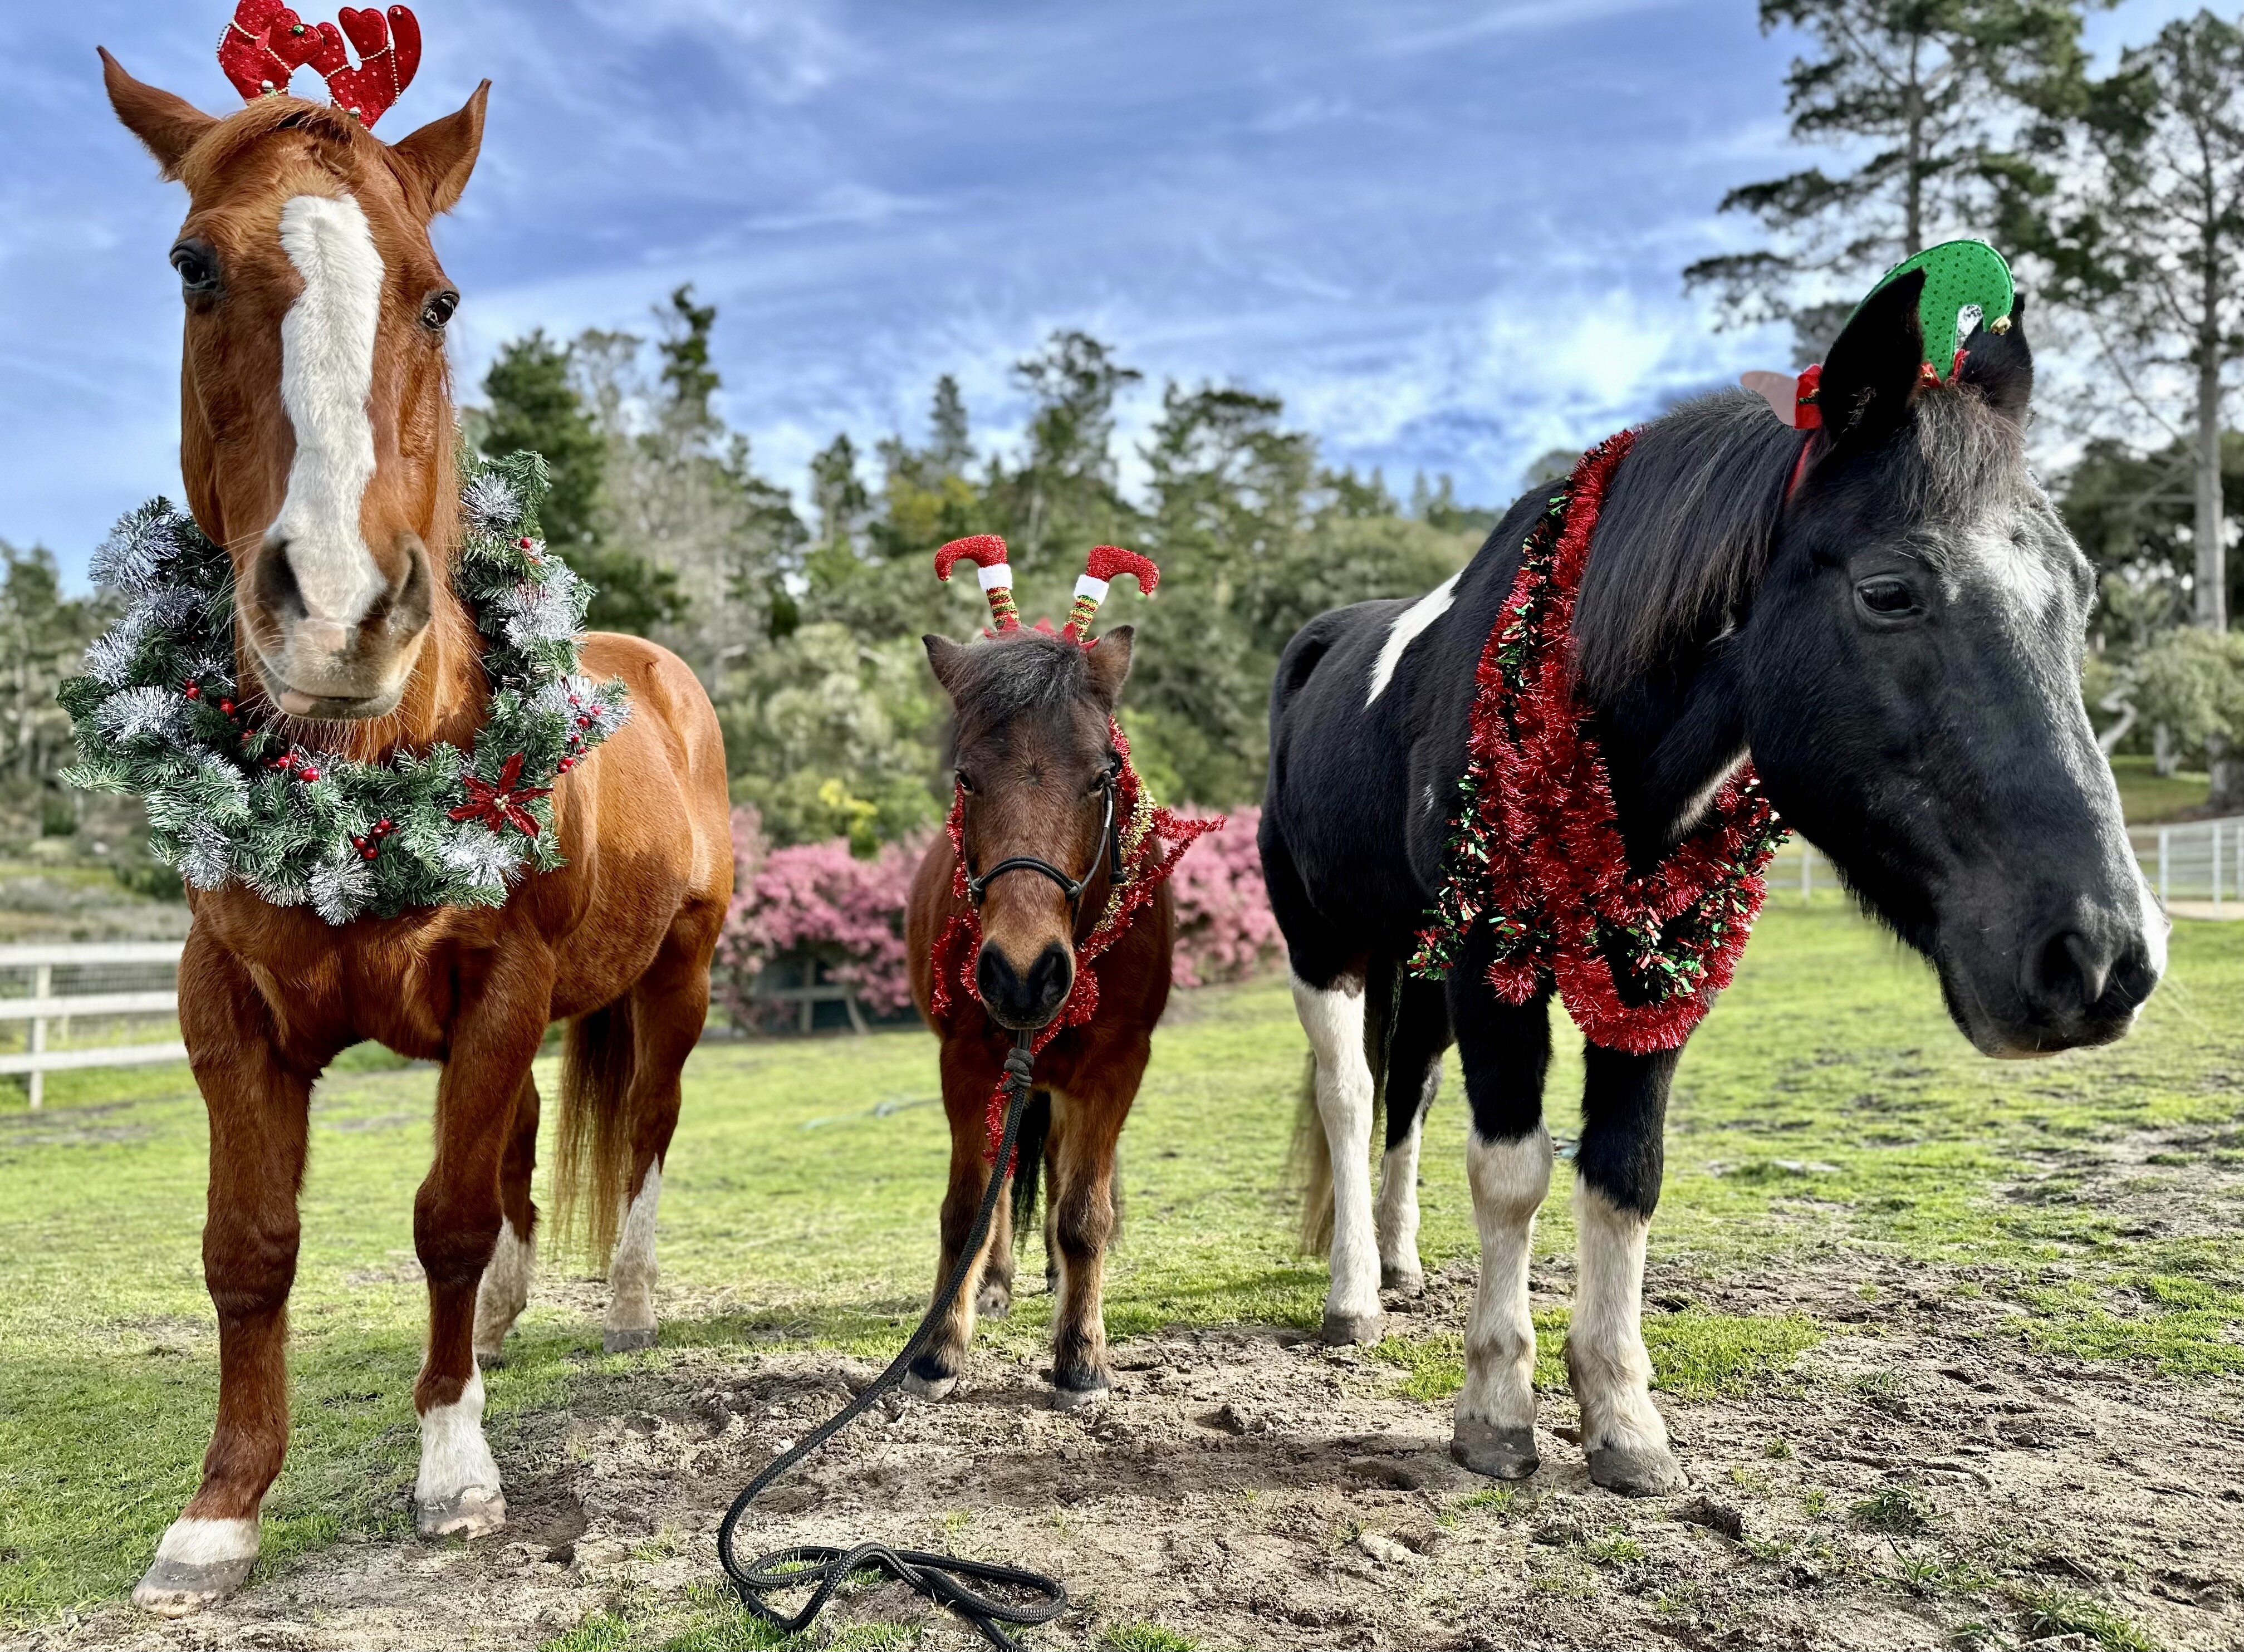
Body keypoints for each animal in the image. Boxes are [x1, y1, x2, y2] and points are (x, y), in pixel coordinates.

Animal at [98, 53, 732, 1613]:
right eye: (195, 266)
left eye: (437, 297)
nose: (335, 612)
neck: (359, 781)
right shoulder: (226, 1005)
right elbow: (251, 1243)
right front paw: (219, 1512)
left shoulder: (501, 987)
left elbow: (443, 1215)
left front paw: (453, 1467)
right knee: (518, 1157)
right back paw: (500, 1322)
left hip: (674, 982)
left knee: (641, 1132)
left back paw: (622, 1304)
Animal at [902, 556, 1174, 1409]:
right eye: (965, 777)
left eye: (1101, 776)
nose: (1023, 971)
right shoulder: (966, 1062)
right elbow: (967, 1209)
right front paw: (939, 1349)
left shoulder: (1116, 1067)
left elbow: (1085, 1213)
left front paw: (1080, 1357)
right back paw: (993, 1283)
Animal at [1261, 272, 2163, 1497]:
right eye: (1890, 589)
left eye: (2080, 588)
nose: (2101, 954)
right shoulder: (1495, 962)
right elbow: (1512, 1173)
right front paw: (1497, 1408)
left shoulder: (1656, 966)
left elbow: (1623, 1173)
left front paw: (1622, 1417)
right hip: (1325, 943)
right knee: (1349, 1095)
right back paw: (1353, 1292)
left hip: (1418, 956)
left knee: (1404, 1089)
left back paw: (1396, 1262)